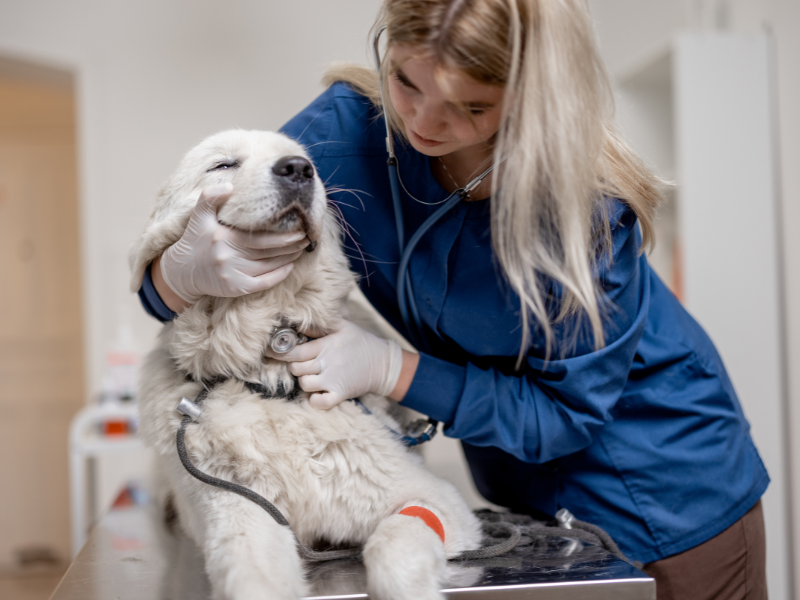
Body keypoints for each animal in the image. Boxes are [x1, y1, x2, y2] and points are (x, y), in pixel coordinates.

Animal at [130, 130, 482, 600]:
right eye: (223, 165)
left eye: (304, 160)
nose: (298, 169)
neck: (270, 376)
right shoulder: (240, 510)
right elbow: (251, 577)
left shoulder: (435, 501)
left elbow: (394, 545)